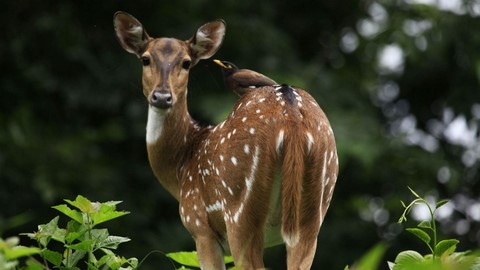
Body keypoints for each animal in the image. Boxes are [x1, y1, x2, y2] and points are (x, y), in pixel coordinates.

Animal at [113, 11, 338, 268]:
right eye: (145, 59)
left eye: (186, 62)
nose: (161, 96)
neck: (181, 166)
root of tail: (290, 117)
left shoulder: (199, 225)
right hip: (313, 213)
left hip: (238, 211)